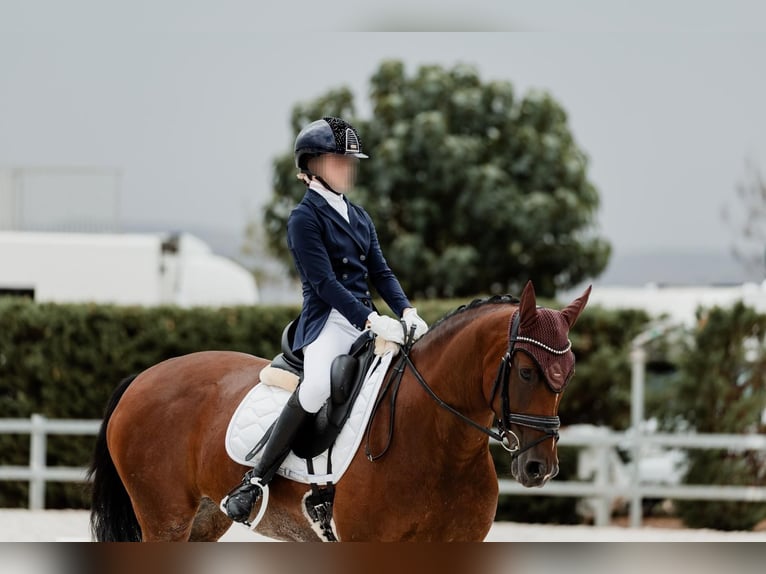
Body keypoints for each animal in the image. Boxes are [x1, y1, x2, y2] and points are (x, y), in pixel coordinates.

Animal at [88, 280, 590, 542]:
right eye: (525, 372)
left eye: (568, 372)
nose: (539, 468)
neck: (438, 441)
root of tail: (141, 378)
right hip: (165, 519)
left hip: (204, 520)